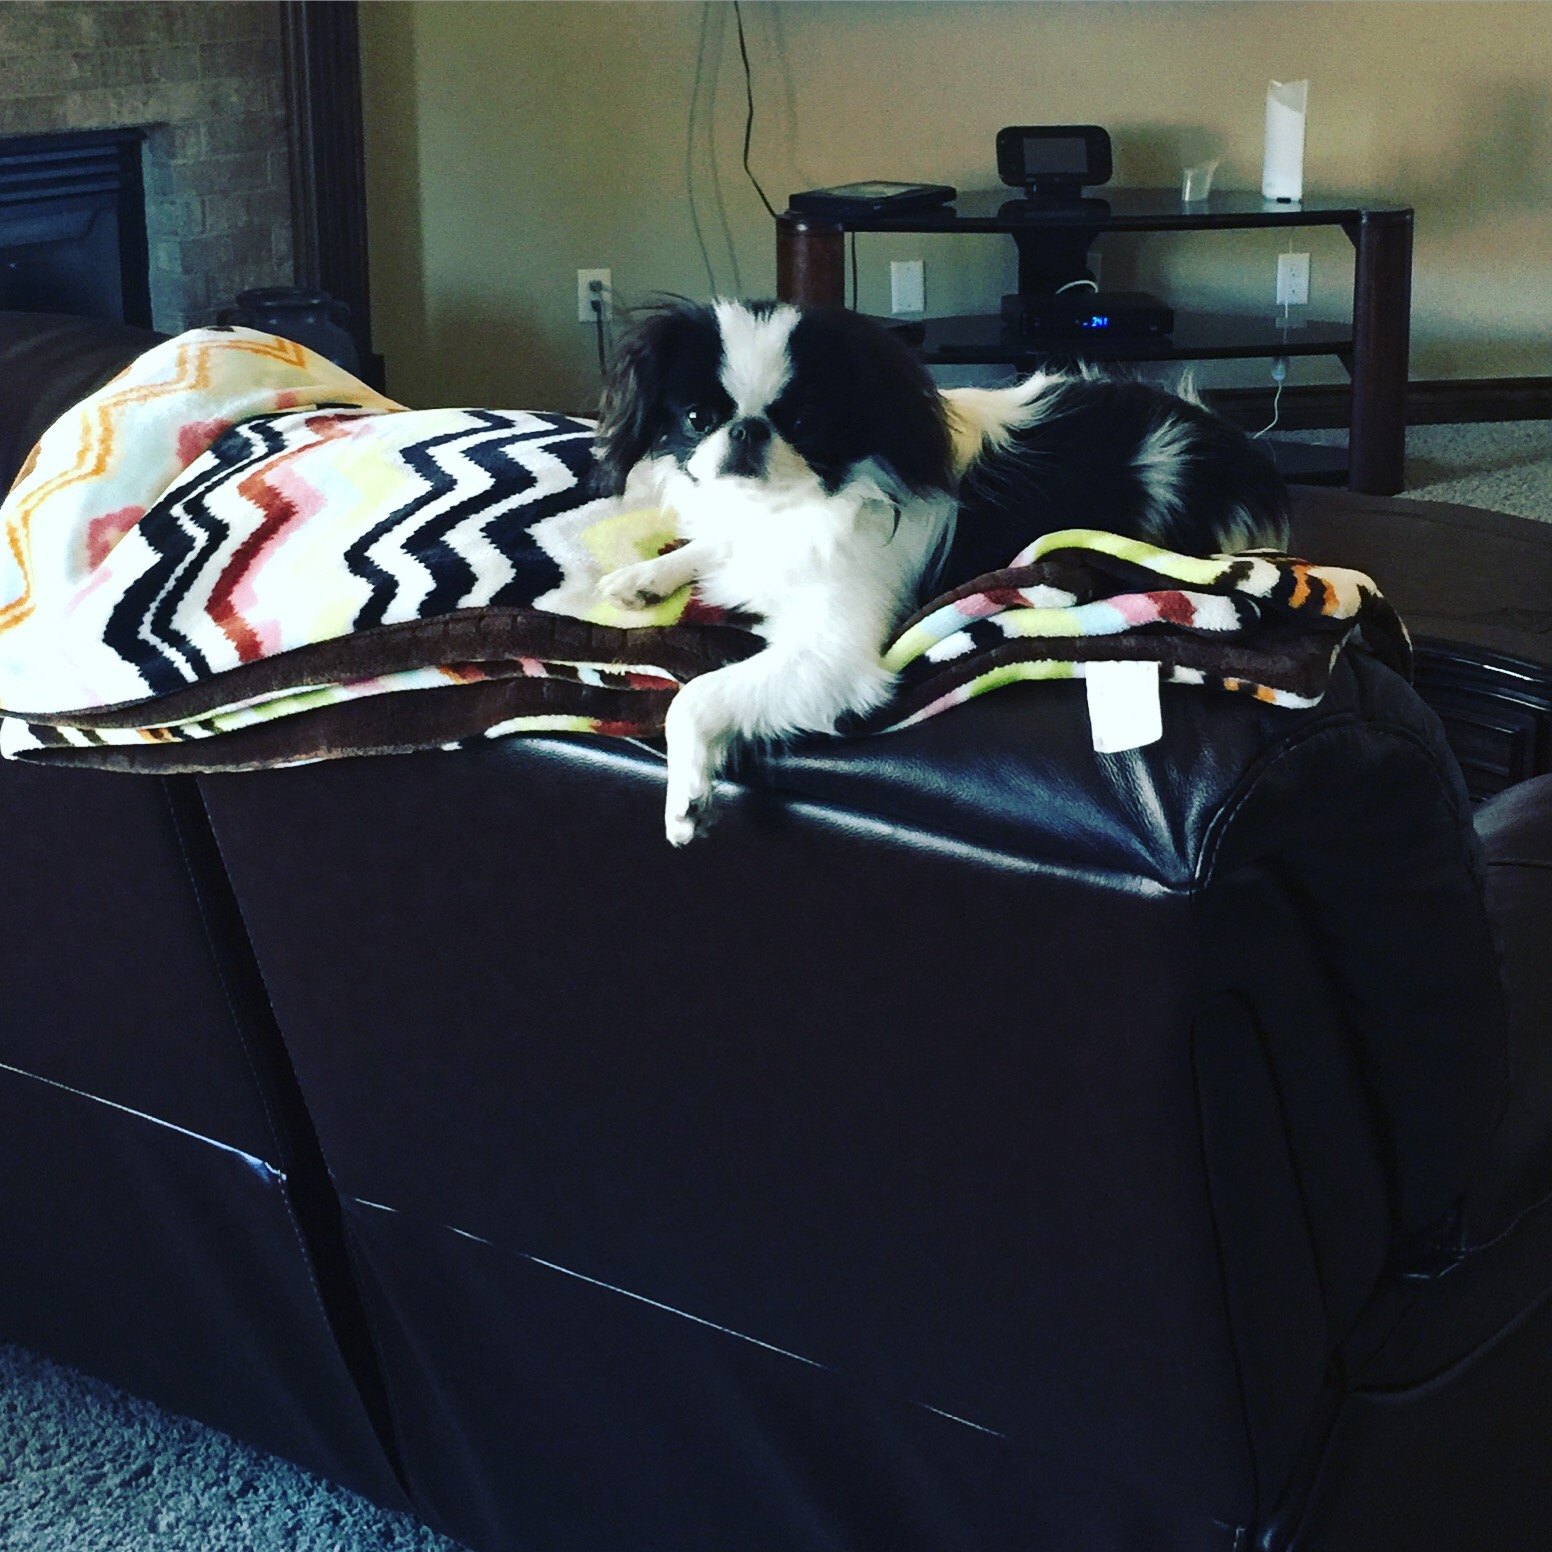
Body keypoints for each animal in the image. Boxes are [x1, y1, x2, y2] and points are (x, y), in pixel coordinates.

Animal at [588, 298, 1290, 845]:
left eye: (805, 423)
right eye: (697, 419)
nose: (746, 431)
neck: (787, 509)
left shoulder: (829, 654)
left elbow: (694, 697)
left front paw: (687, 799)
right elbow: (707, 548)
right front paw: (642, 578)